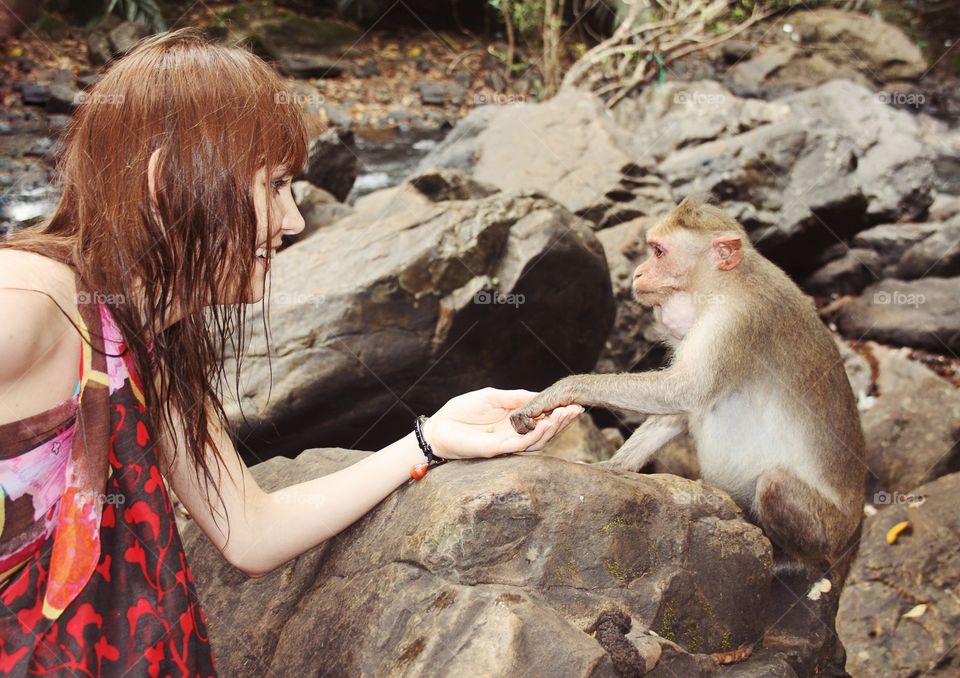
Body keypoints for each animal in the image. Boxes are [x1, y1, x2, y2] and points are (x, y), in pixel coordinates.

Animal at [511, 196, 866, 586]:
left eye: (658, 252)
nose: (638, 273)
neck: (725, 284)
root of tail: (851, 538)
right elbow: (679, 409)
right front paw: (616, 465)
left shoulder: (733, 321)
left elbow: (684, 391)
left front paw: (561, 390)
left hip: (826, 529)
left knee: (774, 483)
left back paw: (796, 562)